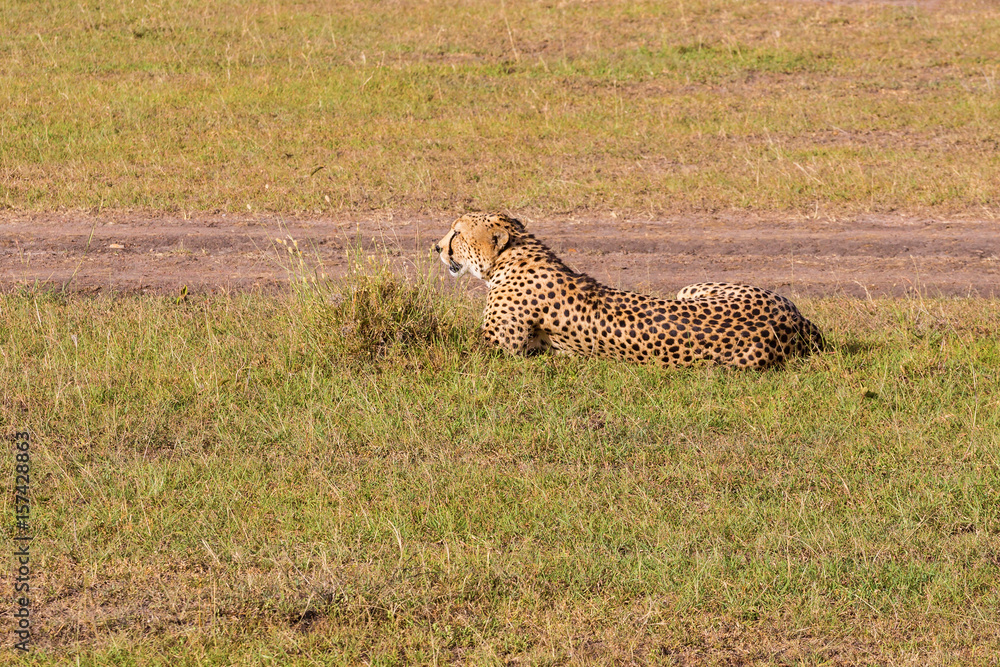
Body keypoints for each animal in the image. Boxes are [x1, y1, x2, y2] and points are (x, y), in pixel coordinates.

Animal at [434, 213, 824, 370]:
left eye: (457, 232)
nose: (436, 247)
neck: (516, 254)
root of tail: (797, 319)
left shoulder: (498, 347)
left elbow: (452, 346)